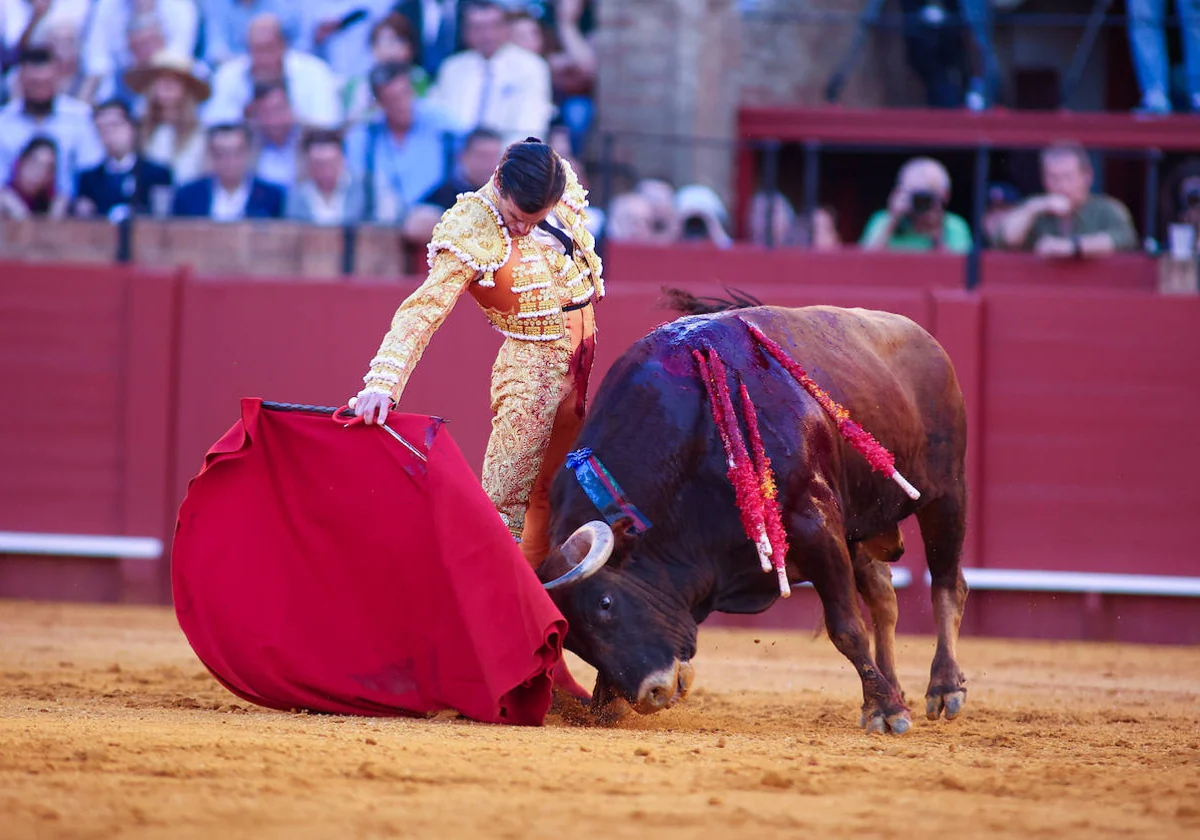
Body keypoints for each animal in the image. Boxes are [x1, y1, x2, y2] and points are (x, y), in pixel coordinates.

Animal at [540, 295, 969, 734]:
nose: (651, 694)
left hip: (946, 491)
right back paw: (897, 690)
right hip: (860, 523)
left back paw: (943, 689)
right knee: (885, 598)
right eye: (571, 638)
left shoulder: (815, 523)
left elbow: (846, 627)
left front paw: (885, 710)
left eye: (605, 603)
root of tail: (923, 338)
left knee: (947, 584)